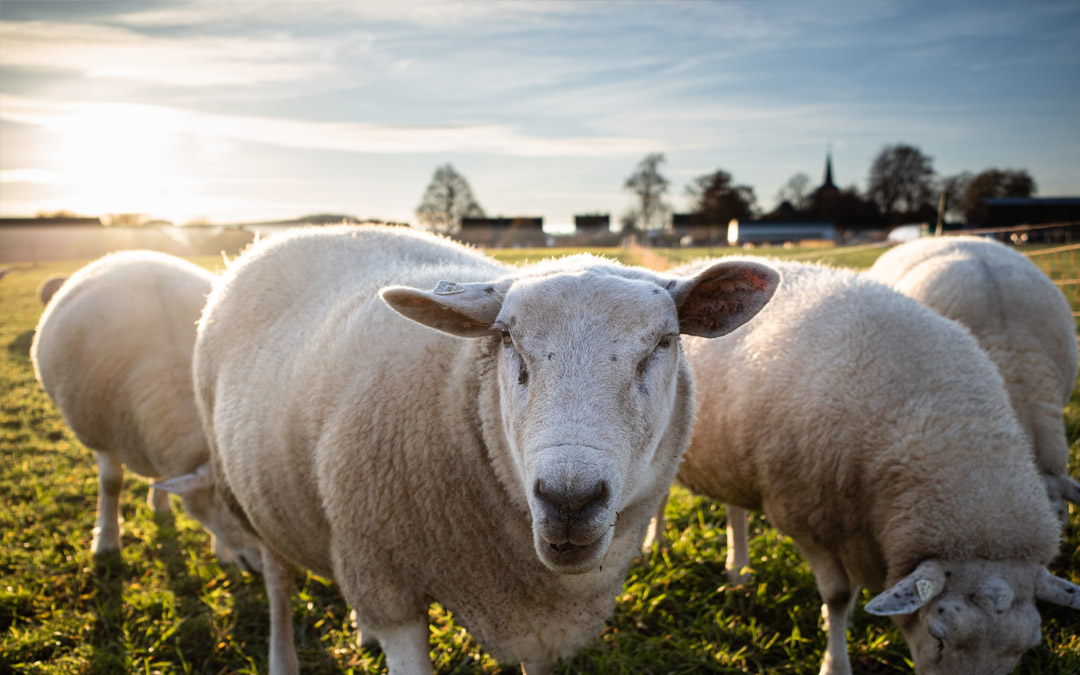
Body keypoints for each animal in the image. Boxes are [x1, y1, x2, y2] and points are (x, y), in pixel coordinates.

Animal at [31, 248, 263, 570]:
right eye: (231, 513)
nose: (259, 568)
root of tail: (135, 252)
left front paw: (222, 552)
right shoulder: (99, 435)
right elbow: (111, 483)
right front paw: (106, 542)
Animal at [185, 226, 777, 673]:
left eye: (663, 342)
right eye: (509, 339)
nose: (568, 502)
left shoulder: (539, 623)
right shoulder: (390, 586)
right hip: (249, 493)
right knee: (279, 582)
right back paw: (282, 657)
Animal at [652, 259, 1075, 673]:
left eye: (1026, 648)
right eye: (937, 636)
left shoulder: (854, 524)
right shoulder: (804, 516)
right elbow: (838, 595)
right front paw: (835, 663)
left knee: (734, 510)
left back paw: (738, 570)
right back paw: (655, 546)